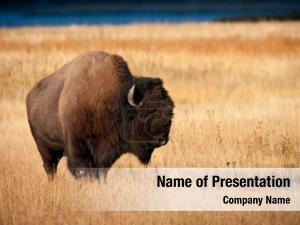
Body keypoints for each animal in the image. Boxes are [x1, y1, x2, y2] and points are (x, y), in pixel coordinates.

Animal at [27, 51, 176, 179]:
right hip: (44, 147)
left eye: (170, 112)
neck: (114, 101)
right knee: (50, 167)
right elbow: (82, 169)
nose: (162, 139)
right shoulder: (77, 146)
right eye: (145, 113)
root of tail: (30, 95)